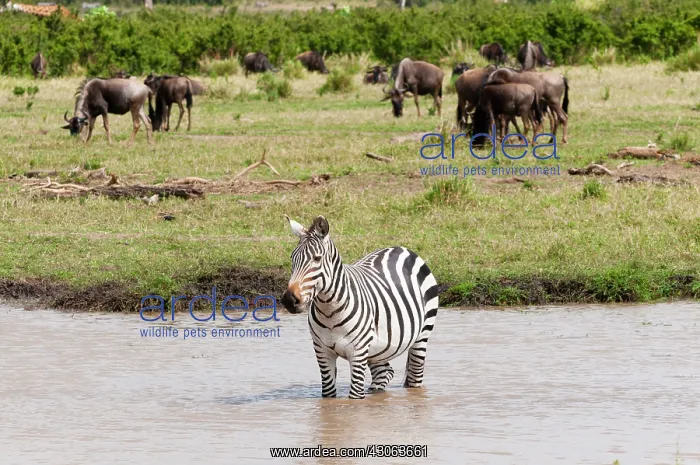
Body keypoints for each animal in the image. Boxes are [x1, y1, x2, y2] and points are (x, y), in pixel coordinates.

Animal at [281, 215, 440, 400]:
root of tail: (403, 249)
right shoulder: (322, 351)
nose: (289, 300)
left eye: (317, 258)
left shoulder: (357, 352)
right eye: (292, 258)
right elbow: (328, 394)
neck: (329, 312)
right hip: (378, 349)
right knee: (385, 372)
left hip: (422, 335)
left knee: (415, 376)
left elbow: (355, 397)